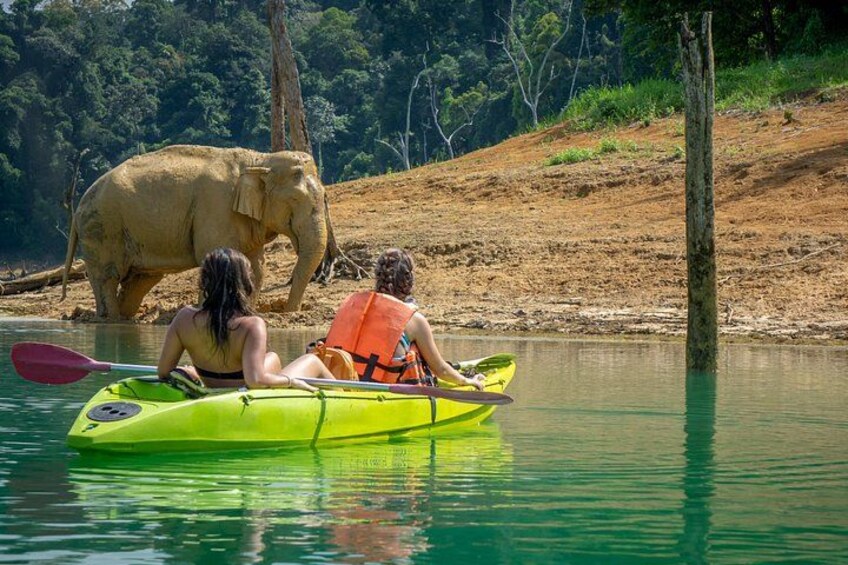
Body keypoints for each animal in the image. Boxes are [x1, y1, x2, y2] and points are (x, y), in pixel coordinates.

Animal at [62, 145, 327, 320]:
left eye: (325, 196)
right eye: (295, 199)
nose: (290, 311)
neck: (260, 159)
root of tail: (79, 206)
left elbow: (256, 266)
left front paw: (247, 312)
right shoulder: (216, 208)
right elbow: (212, 256)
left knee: (139, 281)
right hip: (103, 228)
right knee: (108, 276)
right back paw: (110, 320)